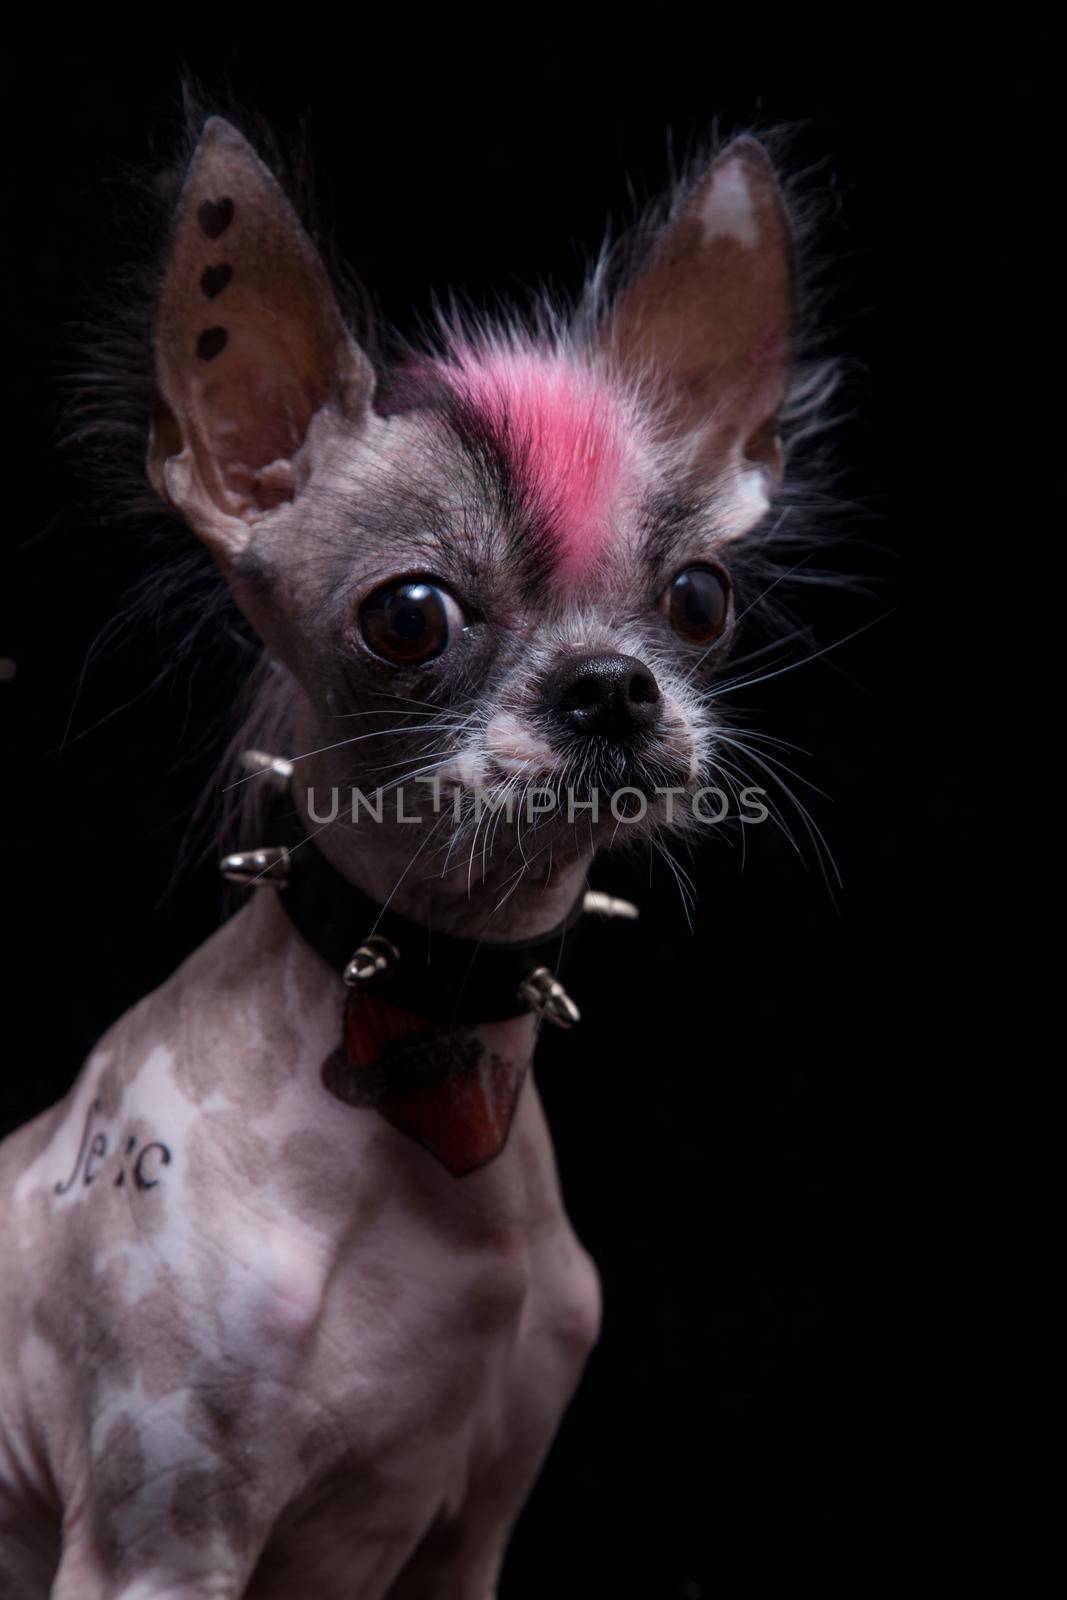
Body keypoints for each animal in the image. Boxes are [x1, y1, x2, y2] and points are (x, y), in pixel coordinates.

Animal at [2, 116, 819, 1600]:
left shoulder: (467, 1540)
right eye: (407, 618)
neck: (426, 1023)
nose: (612, 688)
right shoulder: (157, 1545)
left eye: (696, 597)